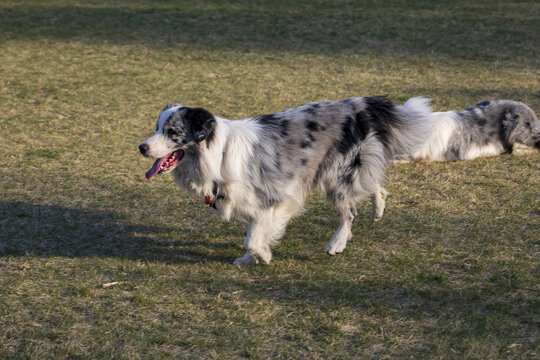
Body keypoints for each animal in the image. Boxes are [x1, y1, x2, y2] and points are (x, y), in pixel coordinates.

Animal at [140, 96, 434, 264]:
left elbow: (253, 238)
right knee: (373, 184)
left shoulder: (275, 198)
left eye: (173, 132)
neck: (215, 153)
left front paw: (264, 256)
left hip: (335, 177)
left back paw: (337, 243)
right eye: (157, 128)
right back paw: (378, 207)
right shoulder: (248, 204)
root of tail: (358, 104)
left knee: (350, 211)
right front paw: (251, 258)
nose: (142, 147)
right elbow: (252, 233)